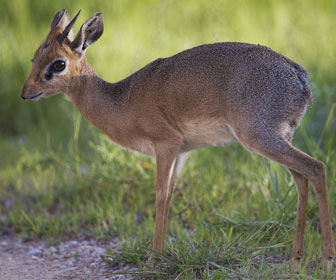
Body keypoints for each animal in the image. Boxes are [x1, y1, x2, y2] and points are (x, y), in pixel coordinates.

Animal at [20, 9, 334, 270]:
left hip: (260, 137)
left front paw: (153, 259)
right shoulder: (183, 151)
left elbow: (159, 195)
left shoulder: (165, 145)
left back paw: (326, 260)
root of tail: (300, 77)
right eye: (35, 56)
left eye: (58, 64)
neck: (122, 100)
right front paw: (162, 254)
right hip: (278, 138)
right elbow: (170, 194)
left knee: (316, 168)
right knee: (301, 178)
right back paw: (296, 260)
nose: (25, 93)